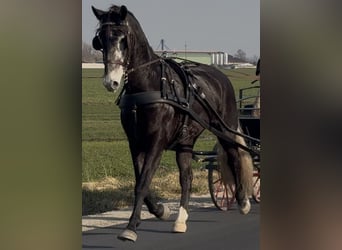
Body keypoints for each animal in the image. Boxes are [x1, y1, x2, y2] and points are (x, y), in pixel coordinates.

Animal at [91, 4, 254, 242]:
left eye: (123, 39)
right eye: (100, 40)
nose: (110, 82)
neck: (147, 86)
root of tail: (219, 75)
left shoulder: (156, 142)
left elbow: (143, 182)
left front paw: (130, 228)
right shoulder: (135, 143)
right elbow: (140, 182)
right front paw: (161, 210)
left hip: (225, 127)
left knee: (234, 155)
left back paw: (243, 201)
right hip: (185, 141)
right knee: (186, 177)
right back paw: (180, 220)